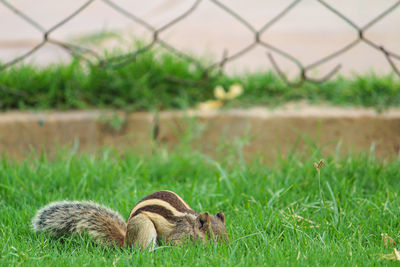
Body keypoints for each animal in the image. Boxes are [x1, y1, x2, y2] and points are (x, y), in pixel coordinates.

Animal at [32, 191, 228, 251]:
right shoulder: (178, 235)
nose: (224, 249)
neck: (191, 224)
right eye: (211, 235)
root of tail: (126, 240)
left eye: (226, 234)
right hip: (144, 227)